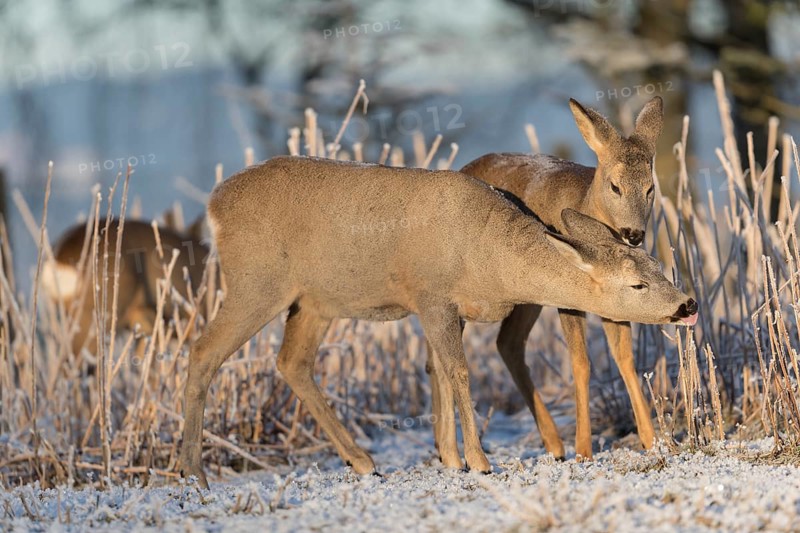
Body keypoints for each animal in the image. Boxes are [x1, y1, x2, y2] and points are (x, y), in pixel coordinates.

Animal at [176, 155, 697, 488]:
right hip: (256, 281)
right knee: (202, 352)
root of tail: (214, 205)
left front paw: (451, 457)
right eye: (637, 285)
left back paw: (363, 462)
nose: (688, 305)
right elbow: (459, 372)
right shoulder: (431, 297)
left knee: (292, 363)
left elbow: (441, 372)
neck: (489, 260)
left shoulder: (448, 308)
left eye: (658, 266)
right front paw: (479, 461)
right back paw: (193, 473)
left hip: (314, 301)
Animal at [434, 96, 664, 462]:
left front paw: (653, 440)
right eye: (615, 186)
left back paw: (553, 443)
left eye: (650, 188)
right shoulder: (567, 296)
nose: (634, 234)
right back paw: (449, 452)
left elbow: (624, 357)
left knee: (507, 344)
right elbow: (580, 362)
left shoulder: (615, 297)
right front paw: (584, 449)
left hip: (526, 293)